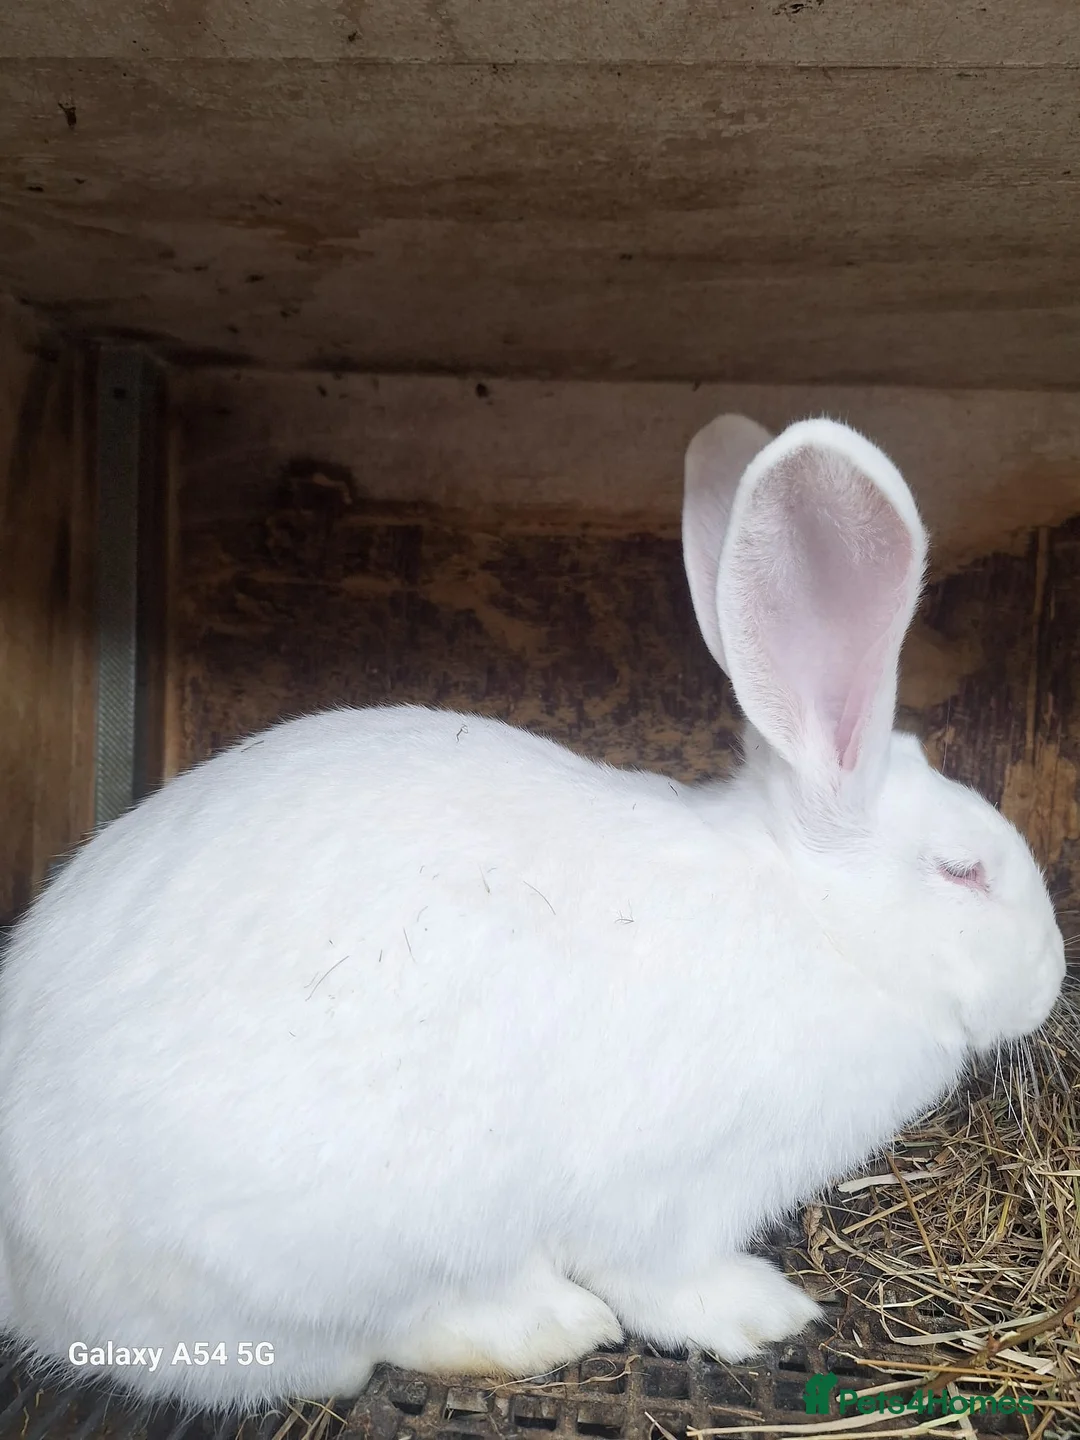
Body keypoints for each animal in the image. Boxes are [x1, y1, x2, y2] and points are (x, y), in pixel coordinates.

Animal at [0, 415, 1064, 1410]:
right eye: (964, 872)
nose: (1053, 976)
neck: (819, 922)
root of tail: (28, 1278)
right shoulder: (672, 1193)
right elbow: (662, 1278)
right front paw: (761, 1312)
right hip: (329, 1252)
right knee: (349, 1350)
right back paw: (545, 1326)